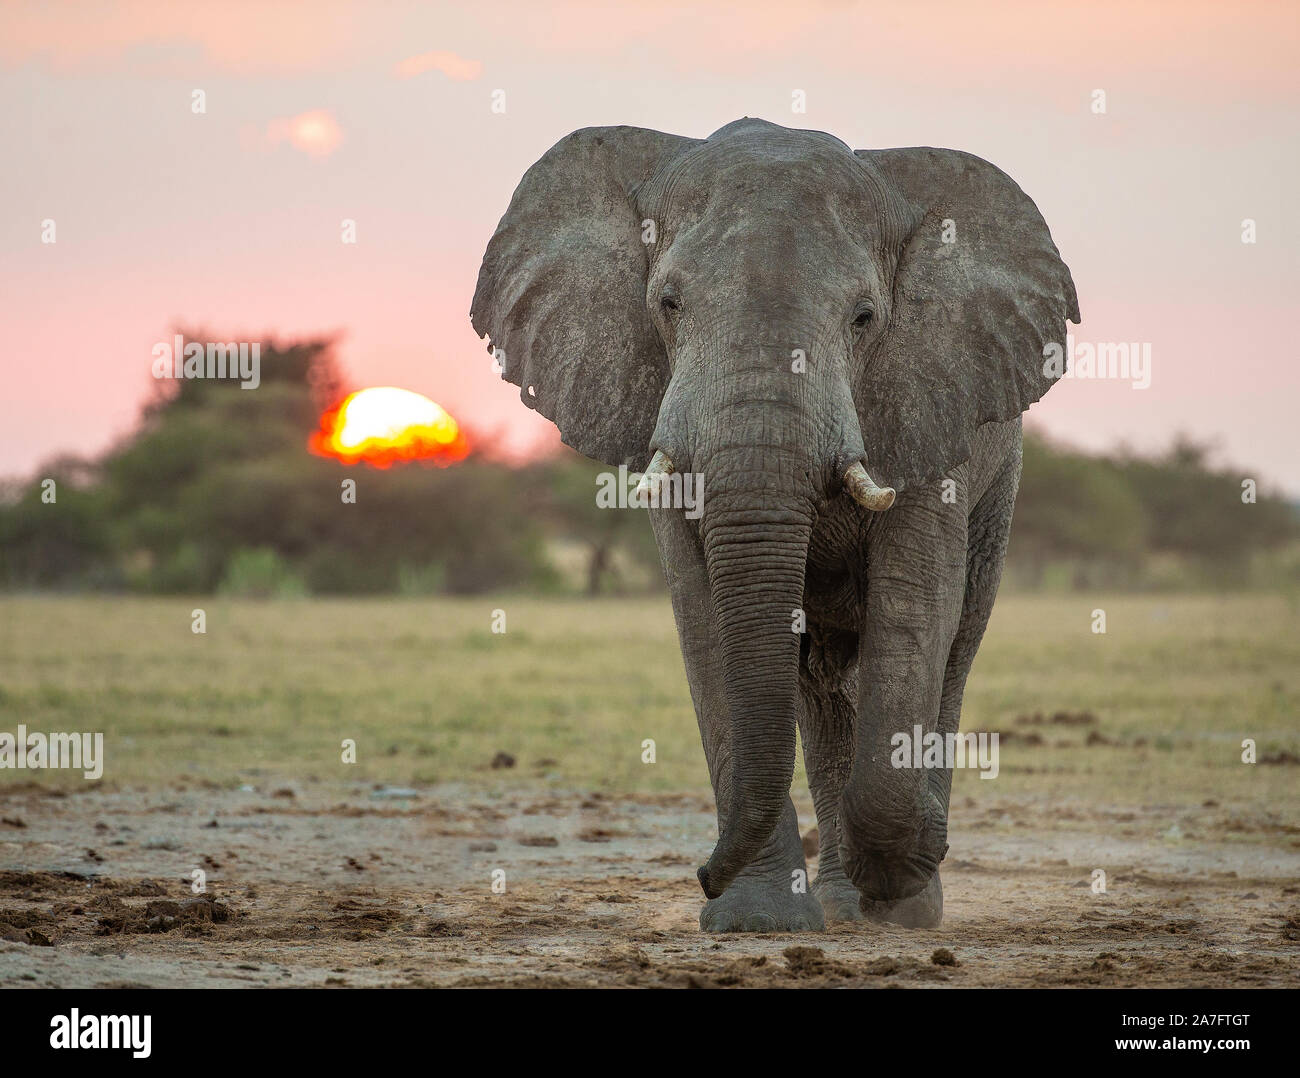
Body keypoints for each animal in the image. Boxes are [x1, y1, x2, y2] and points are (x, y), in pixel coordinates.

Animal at [467, 115, 1076, 925]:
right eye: (668, 303)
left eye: (864, 318)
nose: (701, 873)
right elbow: (705, 618)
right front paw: (755, 922)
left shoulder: (928, 404)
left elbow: (915, 609)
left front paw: (900, 877)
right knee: (819, 686)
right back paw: (846, 906)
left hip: (998, 482)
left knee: (951, 648)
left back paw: (896, 902)